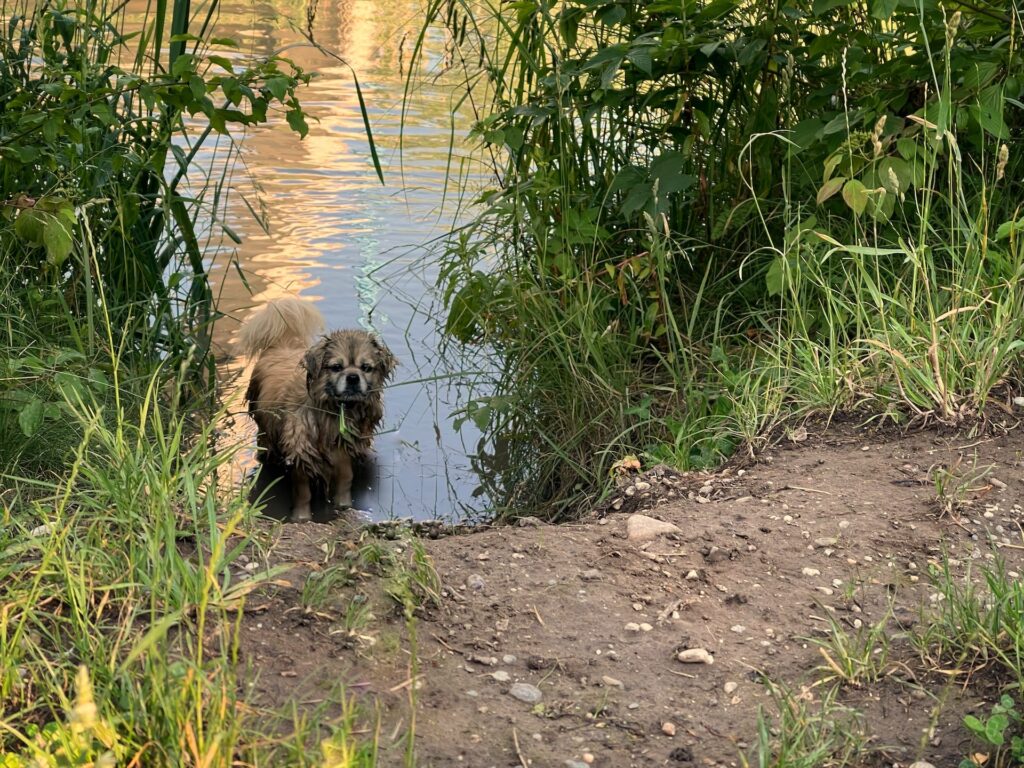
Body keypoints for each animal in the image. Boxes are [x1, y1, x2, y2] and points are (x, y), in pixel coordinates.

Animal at [238, 299, 395, 524]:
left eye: (366, 368)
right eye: (336, 367)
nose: (353, 377)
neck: (336, 412)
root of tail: (281, 343)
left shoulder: (343, 453)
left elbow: (345, 482)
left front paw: (344, 507)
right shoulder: (301, 453)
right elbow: (303, 493)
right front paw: (301, 517)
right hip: (265, 434)